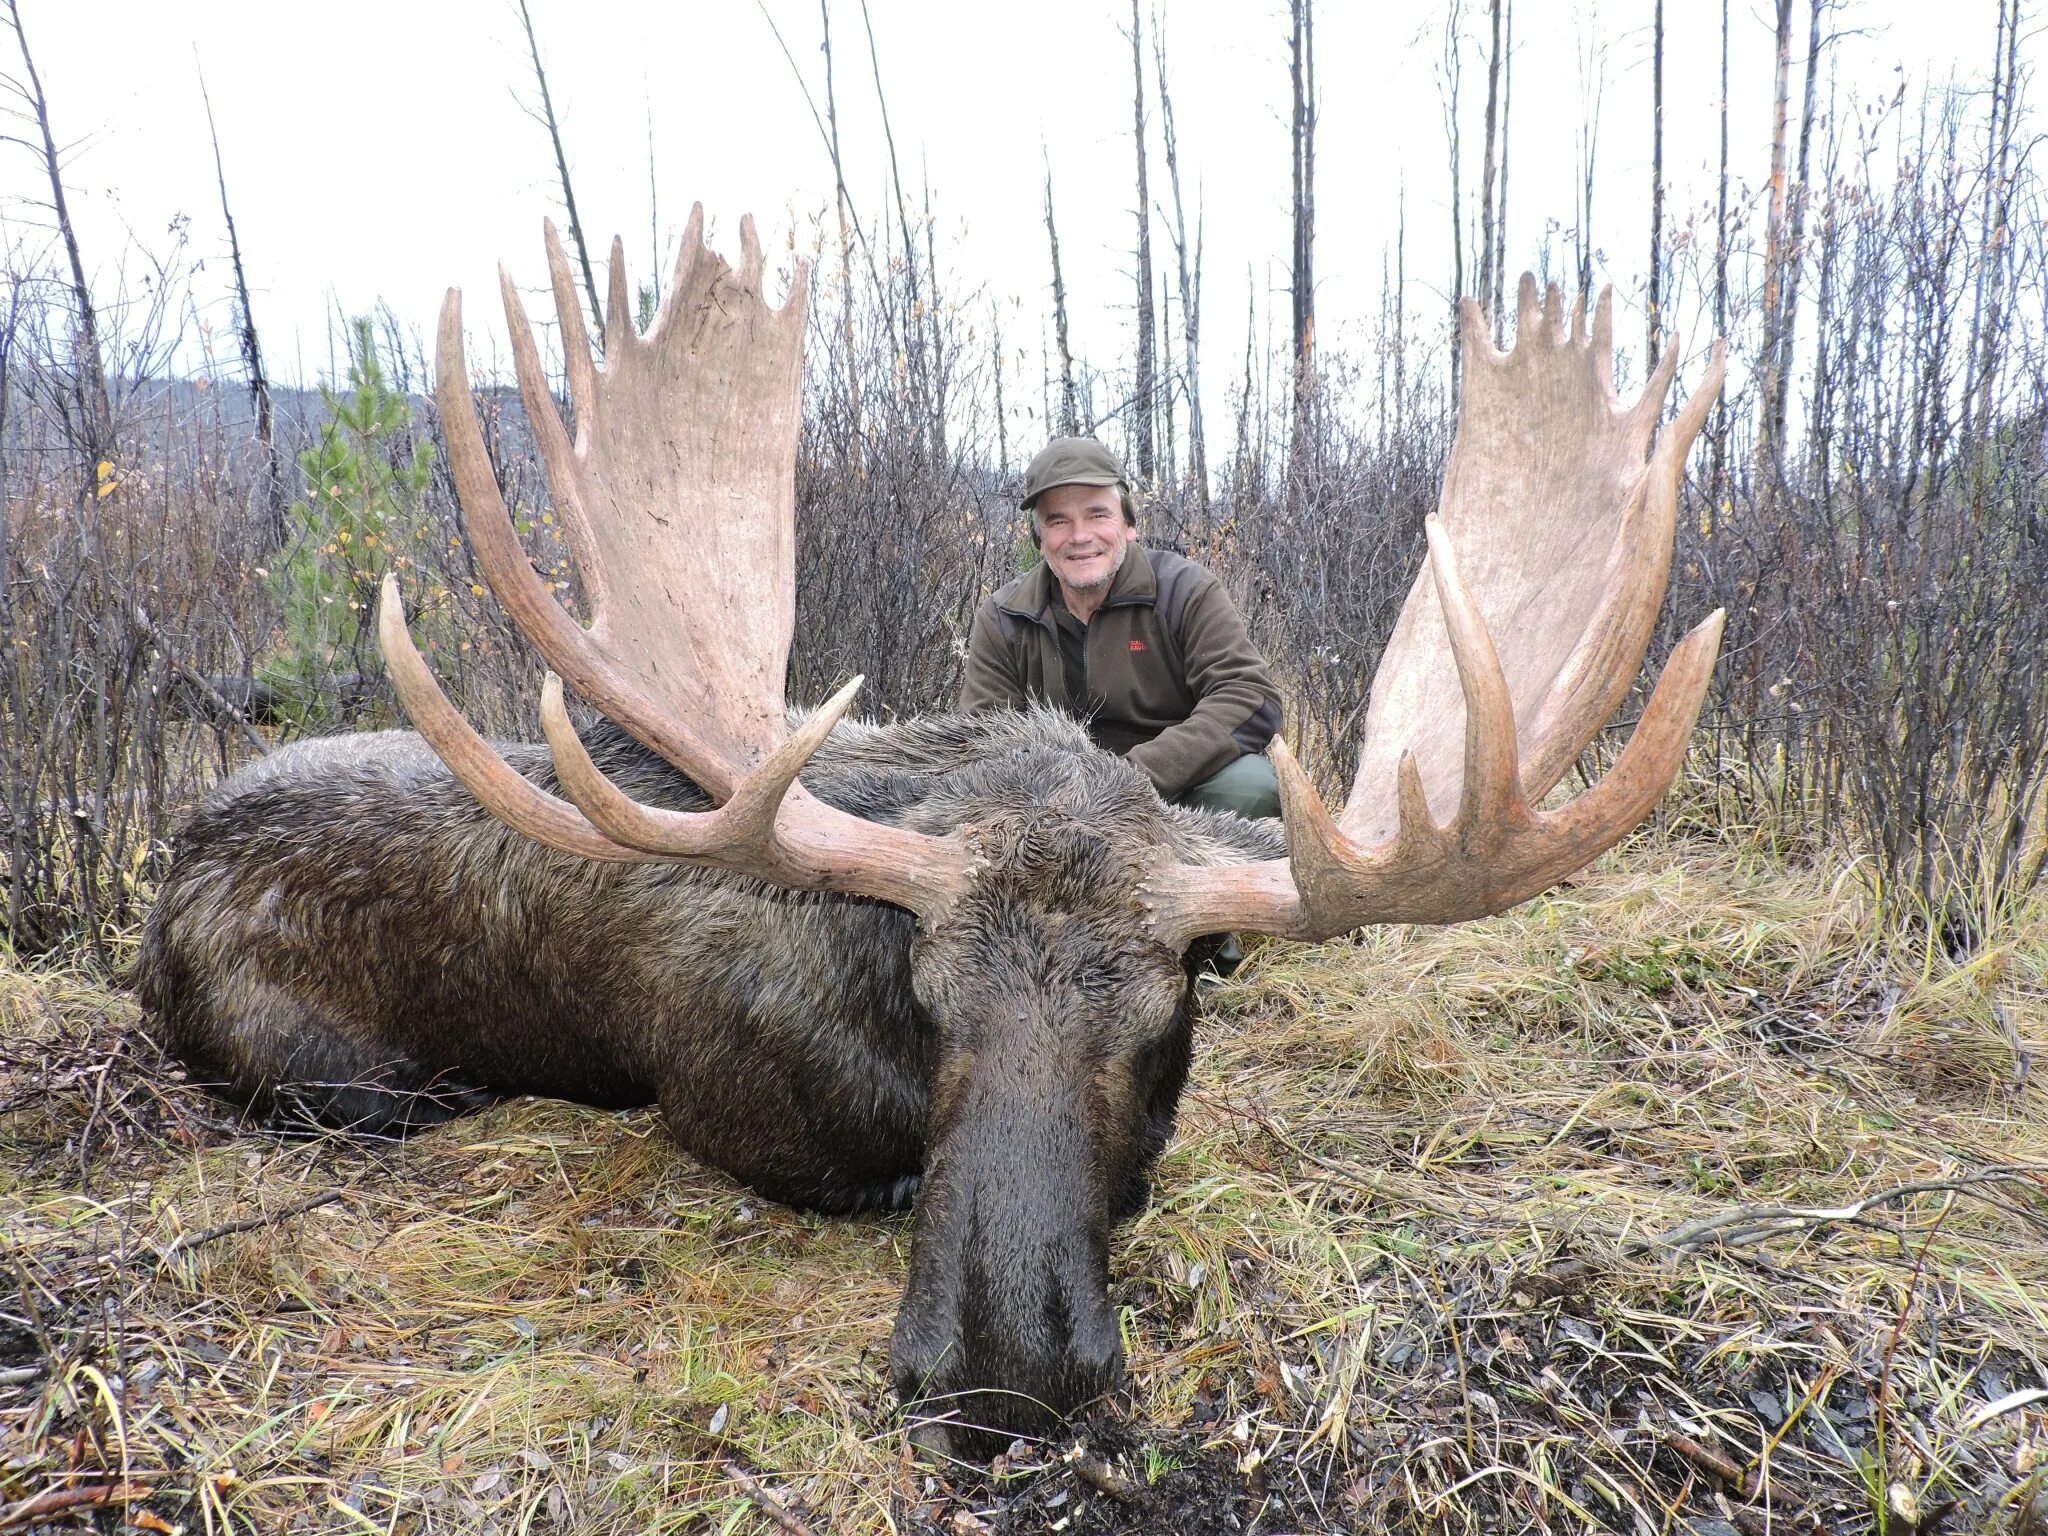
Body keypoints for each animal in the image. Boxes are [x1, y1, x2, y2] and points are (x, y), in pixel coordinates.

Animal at [136, 204, 1720, 1458]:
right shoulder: (715, 1095)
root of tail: (158, 899)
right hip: (333, 1069)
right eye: (931, 991)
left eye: (1163, 1008)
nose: (1007, 1382)